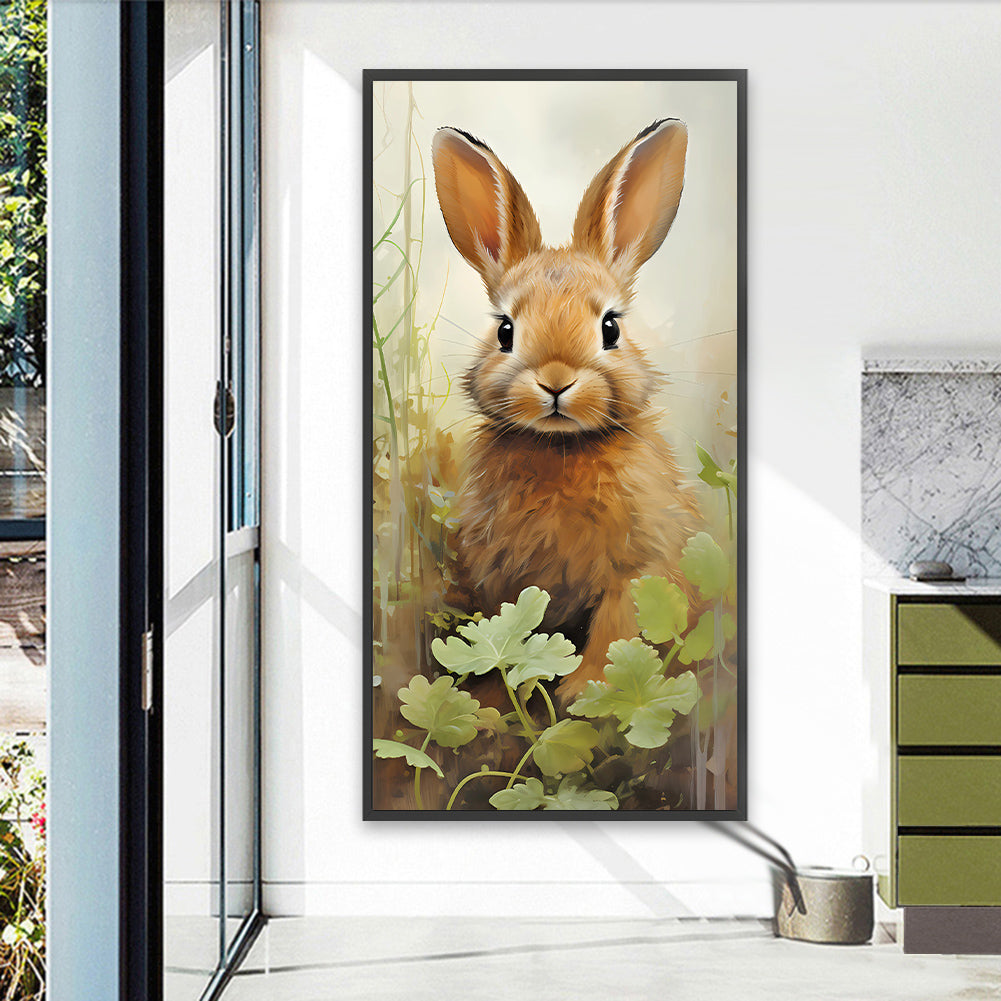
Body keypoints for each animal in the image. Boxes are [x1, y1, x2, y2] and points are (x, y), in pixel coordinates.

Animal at [431, 119, 701, 699]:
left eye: (611, 328)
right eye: (505, 331)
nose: (556, 381)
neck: (559, 450)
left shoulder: (639, 565)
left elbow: (618, 625)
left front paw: (587, 690)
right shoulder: (504, 576)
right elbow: (512, 632)